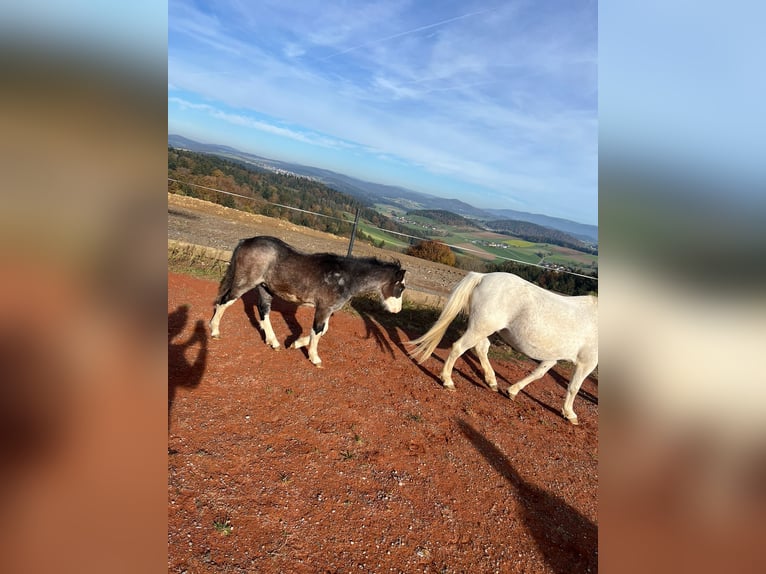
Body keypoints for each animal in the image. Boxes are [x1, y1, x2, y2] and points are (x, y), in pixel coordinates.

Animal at [210, 236, 408, 366]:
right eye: (401, 288)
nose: (397, 311)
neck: (347, 277)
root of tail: (246, 241)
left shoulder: (327, 309)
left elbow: (323, 330)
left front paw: (295, 343)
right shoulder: (324, 308)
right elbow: (318, 330)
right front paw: (314, 358)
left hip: (264, 287)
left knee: (263, 310)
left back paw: (273, 342)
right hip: (245, 282)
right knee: (225, 300)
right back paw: (214, 331)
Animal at [408, 272, 600, 426]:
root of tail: (483, 276)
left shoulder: (553, 356)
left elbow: (537, 374)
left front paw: (512, 391)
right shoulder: (586, 362)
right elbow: (574, 387)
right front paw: (570, 414)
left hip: (485, 329)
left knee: (481, 348)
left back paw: (492, 381)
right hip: (480, 328)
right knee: (459, 348)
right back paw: (448, 381)